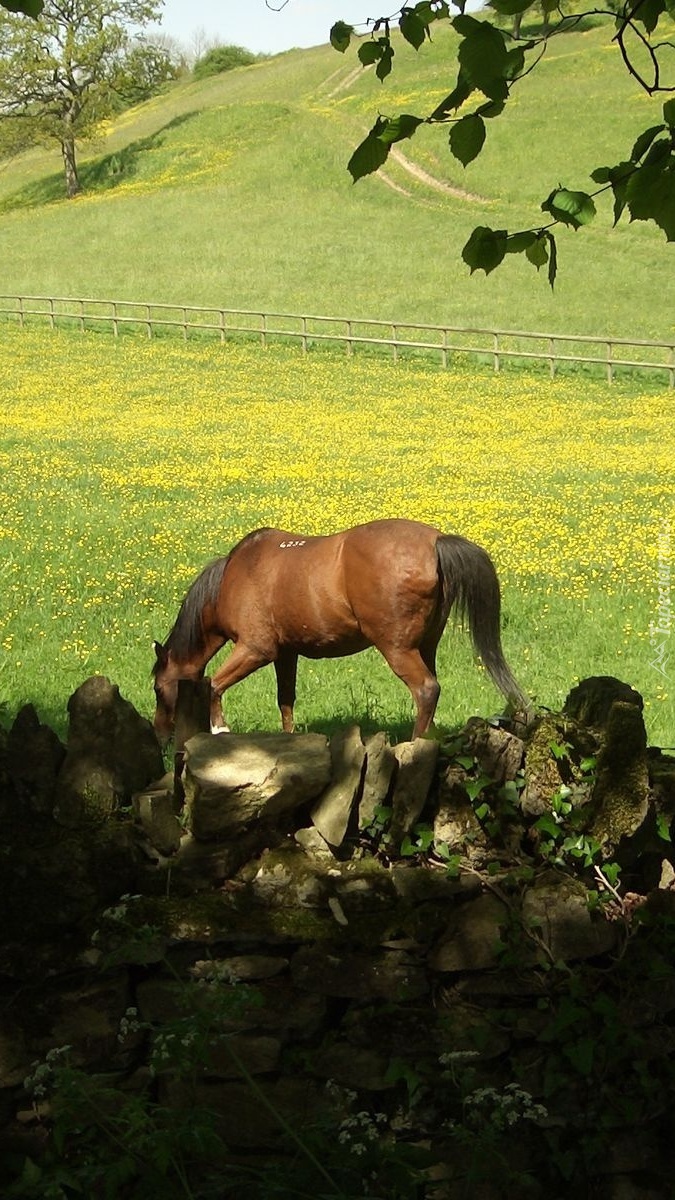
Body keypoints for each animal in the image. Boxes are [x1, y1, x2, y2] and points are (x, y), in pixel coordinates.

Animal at [151, 520, 526, 744]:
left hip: (398, 649)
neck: (235, 574)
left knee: (426, 690)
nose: (161, 735)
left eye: (157, 688)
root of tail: (436, 542)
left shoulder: (256, 650)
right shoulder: (286, 654)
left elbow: (214, 684)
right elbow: (285, 701)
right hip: (426, 646)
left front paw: (220, 729)